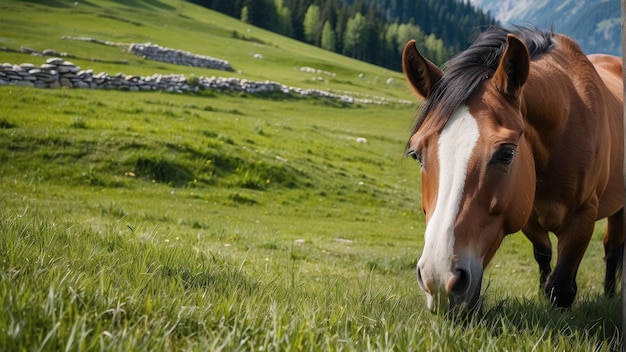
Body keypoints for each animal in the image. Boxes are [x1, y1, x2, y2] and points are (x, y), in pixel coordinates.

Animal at [400, 26, 620, 314]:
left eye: (507, 154)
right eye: (416, 155)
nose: (438, 278)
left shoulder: (583, 216)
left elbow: (561, 287)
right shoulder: (528, 218)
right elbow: (543, 255)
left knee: (613, 249)